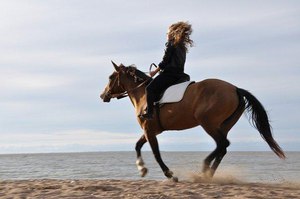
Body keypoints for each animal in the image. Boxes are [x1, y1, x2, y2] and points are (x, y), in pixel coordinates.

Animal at [99, 61, 284, 181]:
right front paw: (142, 169)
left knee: (222, 144)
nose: (103, 95)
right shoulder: (151, 131)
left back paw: (204, 169)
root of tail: (235, 89)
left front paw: (170, 174)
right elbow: (137, 146)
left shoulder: (149, 130)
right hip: (223, 126)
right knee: (222, 147)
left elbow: (156, 154)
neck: (143, 95)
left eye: (110, 77)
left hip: (208, 123)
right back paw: (208, 174)